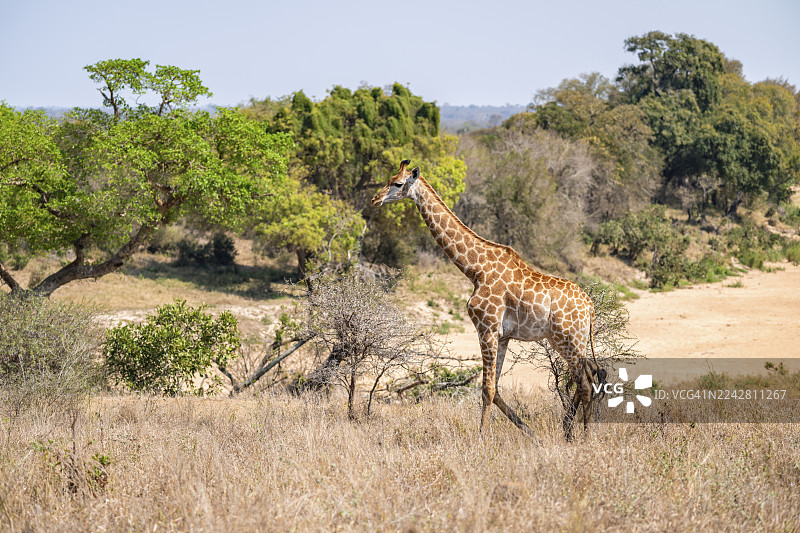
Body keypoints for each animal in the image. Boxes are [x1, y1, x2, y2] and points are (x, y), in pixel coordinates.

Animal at [371, 159, 605, 439]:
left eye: (397, 183)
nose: (374, 199)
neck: (475, 269)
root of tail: (590, 307)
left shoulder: (487, 327)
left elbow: (487, 389)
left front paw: (481, 438)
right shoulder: (502, 335)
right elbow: (496, 390)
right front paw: (531, 433)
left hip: (568, 340)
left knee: (586, 383)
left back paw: (582, 435)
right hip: (571, 342)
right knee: (589, 376)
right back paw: (570, 431)